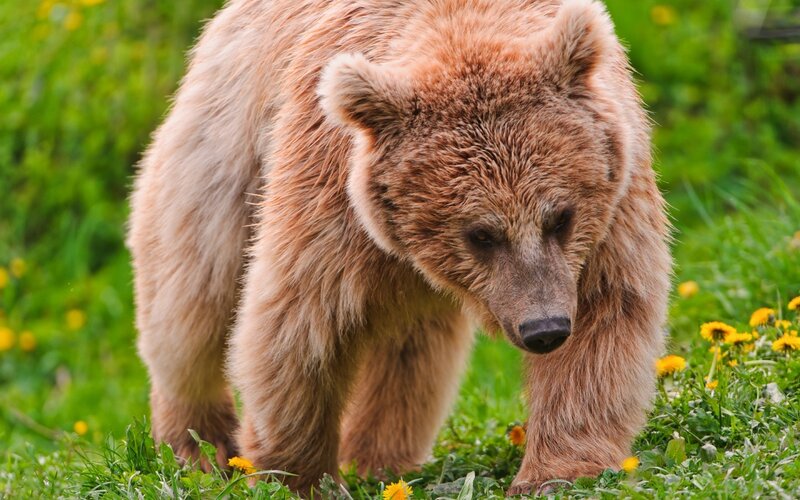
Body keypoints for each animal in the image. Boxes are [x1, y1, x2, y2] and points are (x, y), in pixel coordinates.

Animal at [127, 0, 671, 495]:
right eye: (481, 234)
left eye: (560, 217)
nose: (544, 330)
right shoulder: (331, 199)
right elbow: (299, 326)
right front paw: (297, 476)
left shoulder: (613, 199)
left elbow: (606, 318)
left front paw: (557, 471)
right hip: (224, 150)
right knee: (192, 300)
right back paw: (197, 446)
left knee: (411, 348)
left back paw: (380, 457)